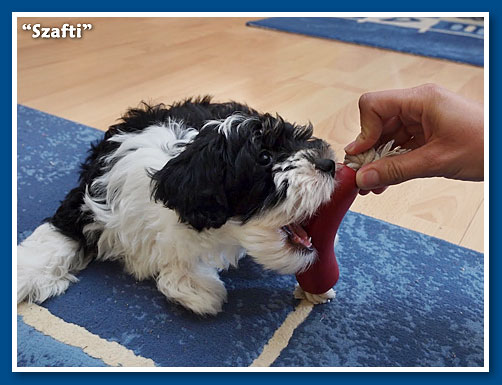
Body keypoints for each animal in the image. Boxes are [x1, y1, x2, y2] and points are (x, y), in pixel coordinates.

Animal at [16, 97, 338, 316]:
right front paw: (22, 275)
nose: (329, 163)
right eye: (265, 158)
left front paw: (195, 287)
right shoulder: (90, 198)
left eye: (300, 141)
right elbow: (54, 237)